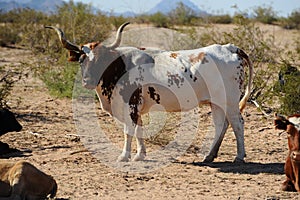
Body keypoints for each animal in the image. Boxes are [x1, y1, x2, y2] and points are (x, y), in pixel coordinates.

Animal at [45, 22, 253, 162]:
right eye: (82, 60)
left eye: (103, 59)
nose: (87, 81)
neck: (119, 66)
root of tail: (228, 47)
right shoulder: (135, 108)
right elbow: (139, 130)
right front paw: (140, 155)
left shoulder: (130, 105)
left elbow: (129, 131)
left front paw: (124, 156)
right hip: (217, 102)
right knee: (221, 125)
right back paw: (209, 155)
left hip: (230, 101)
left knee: (238, 124)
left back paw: (239, 156)